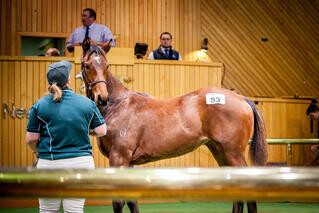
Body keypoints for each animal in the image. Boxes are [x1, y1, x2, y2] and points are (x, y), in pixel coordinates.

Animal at [80, 38, 268, 213]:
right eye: (87, 65)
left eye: (106, 66)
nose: (102, 98)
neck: (119, 105)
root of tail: (241, 98)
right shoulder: (128, 162)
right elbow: (132, 202)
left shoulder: (119, 158)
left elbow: (119, 202)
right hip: (221, 152)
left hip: (233, 153)